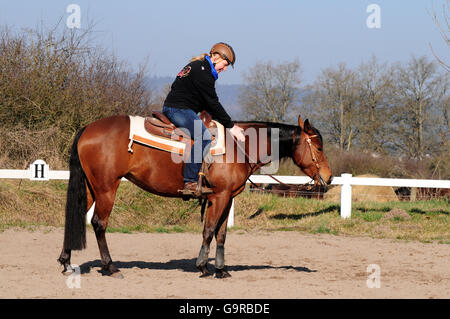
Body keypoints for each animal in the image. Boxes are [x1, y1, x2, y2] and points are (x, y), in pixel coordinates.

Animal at [56, 114, 332, 278]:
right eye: (318, 146)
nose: (328, 177)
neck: (239, 145)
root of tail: (87, 128)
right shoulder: (219, 197)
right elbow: (209, 230)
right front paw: (203, 266)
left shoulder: (227, 197)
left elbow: (221, 234)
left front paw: (221, 269)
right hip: (106, 189)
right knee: (99, 224)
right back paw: (110, 267)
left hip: (91, 189)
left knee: (74, 219)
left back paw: (66, 262)